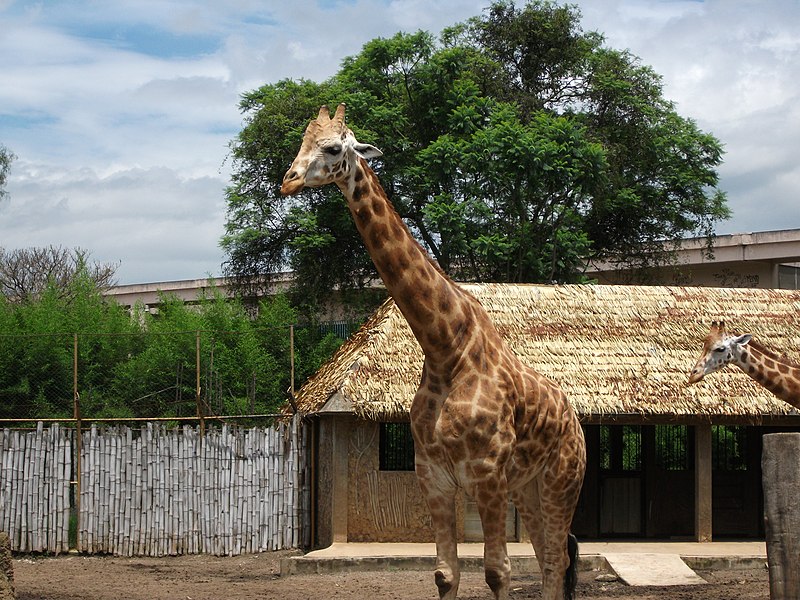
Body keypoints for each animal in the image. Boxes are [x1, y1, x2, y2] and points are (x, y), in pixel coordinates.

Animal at [282, 105, 588, 600]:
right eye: (301, 144)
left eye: (330, 147)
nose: (287, 181)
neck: (446, 347)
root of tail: (575, 421)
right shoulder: (434, 477)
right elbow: (446, 572)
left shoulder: (487, 473)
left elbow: (497, 571)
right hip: (528, 488)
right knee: (551, 559)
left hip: (562, 480)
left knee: (557, 558)